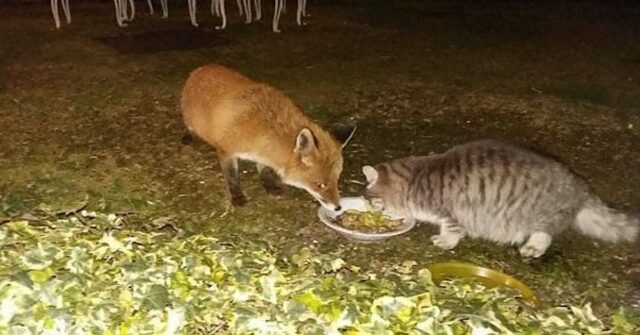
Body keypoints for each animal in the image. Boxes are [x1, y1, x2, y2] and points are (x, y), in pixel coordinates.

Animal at [180, 64, 356, 211]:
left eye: (337, 180)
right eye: (320, 185)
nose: (338, 208)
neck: (263, 128)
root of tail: (202, 68)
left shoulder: (262, 151)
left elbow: (264, 170)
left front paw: (269, 186)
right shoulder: (226, 150)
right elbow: (232, 177)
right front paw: (237, 196)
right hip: (191, 120)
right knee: (189, 126)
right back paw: (189, 136)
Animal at [362, 140, 636, 258]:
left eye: (372, 202)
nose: (373, 212)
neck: (415, 179)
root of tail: (580, 186)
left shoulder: (451, 212)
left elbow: (451, 230)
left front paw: (446, 240)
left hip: (543, 213)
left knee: (545, 233)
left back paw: (534, 246)